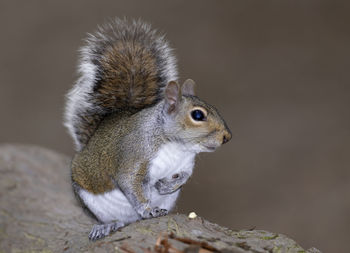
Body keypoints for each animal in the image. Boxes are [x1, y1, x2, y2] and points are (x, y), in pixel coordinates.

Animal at [64, 18, 231, 240]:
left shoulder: (186, 164)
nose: (227, 137)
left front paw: (166, 185)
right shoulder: (135, 155)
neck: (175, 146)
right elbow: (130, 183)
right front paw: (147, 209)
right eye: (198, 115)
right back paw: (108, 225)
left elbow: (184, 177)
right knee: (118, 220)